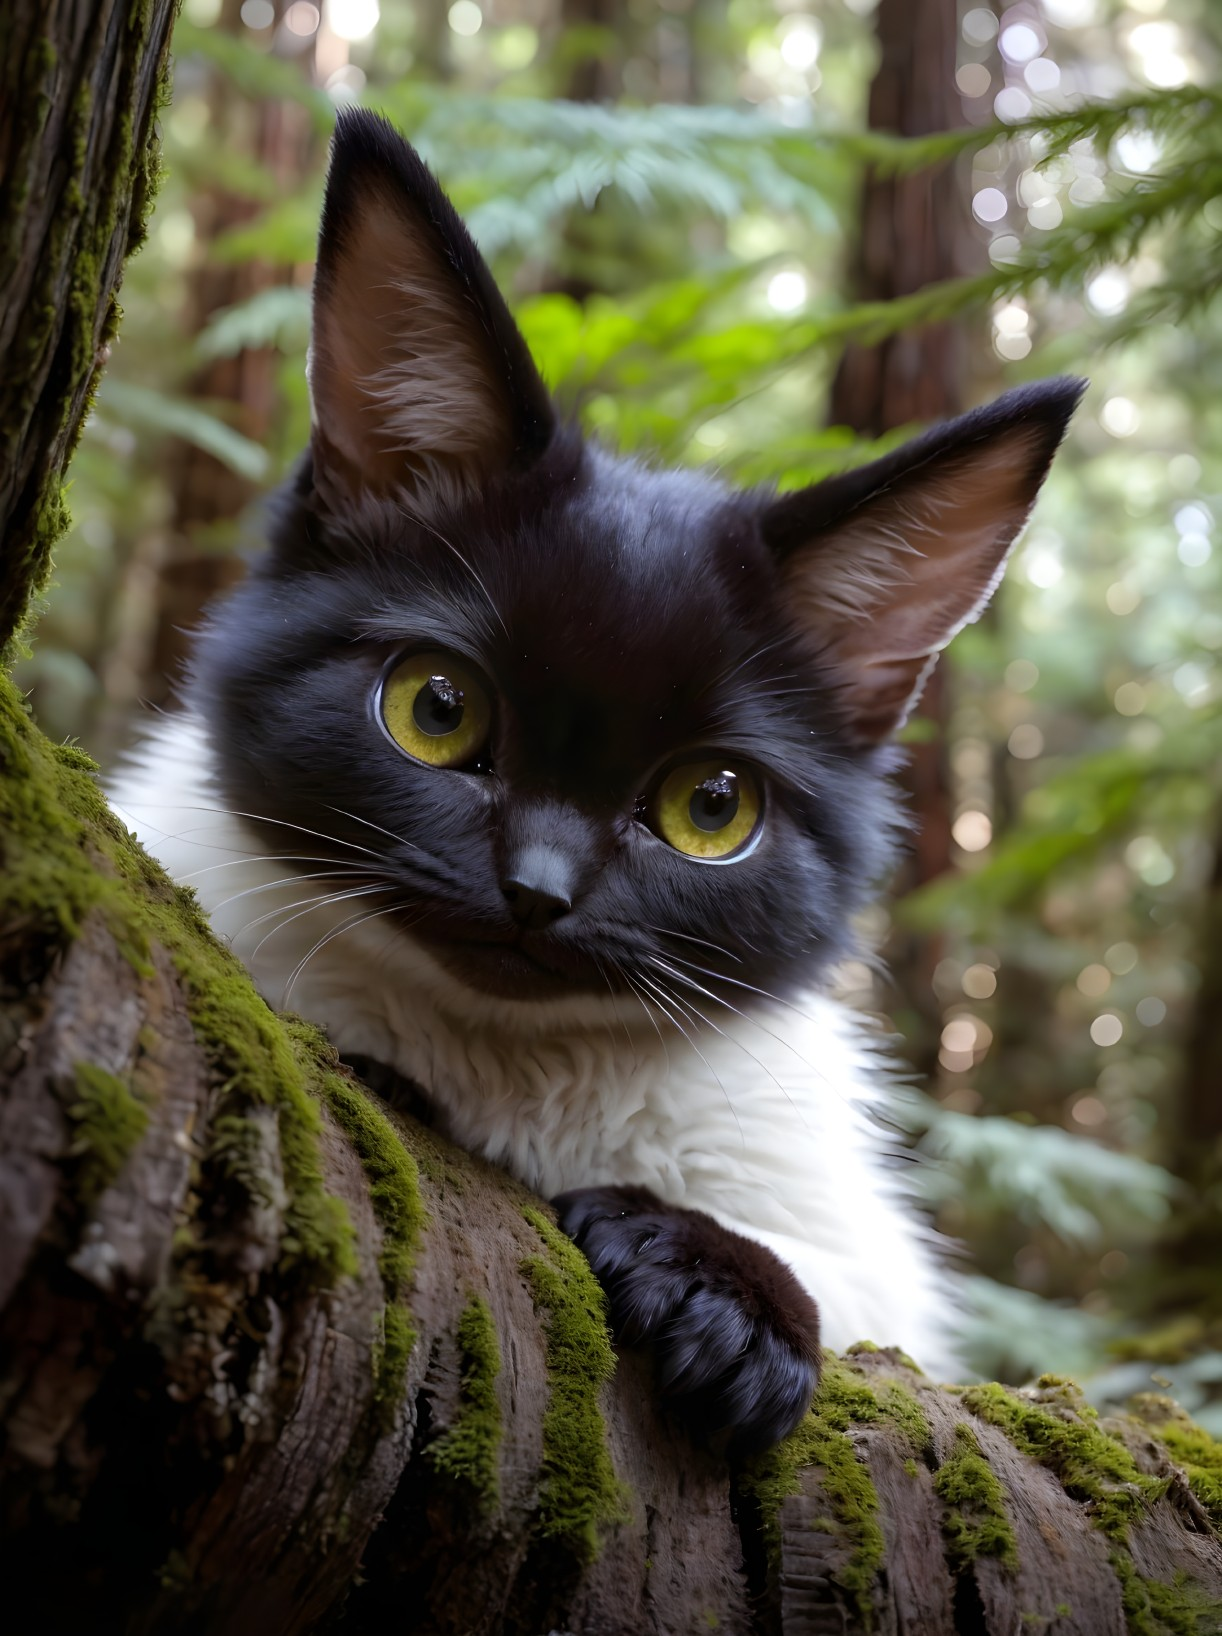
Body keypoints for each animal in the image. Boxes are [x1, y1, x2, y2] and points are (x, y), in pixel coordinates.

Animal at [114, 108, 1086, 1452]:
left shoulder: (852, 1244)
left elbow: (858, 1308)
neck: (512, 1075)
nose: (537, 889)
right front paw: (387, 1078)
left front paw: (718, 1297)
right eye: (436, 709)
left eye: (711, 807)